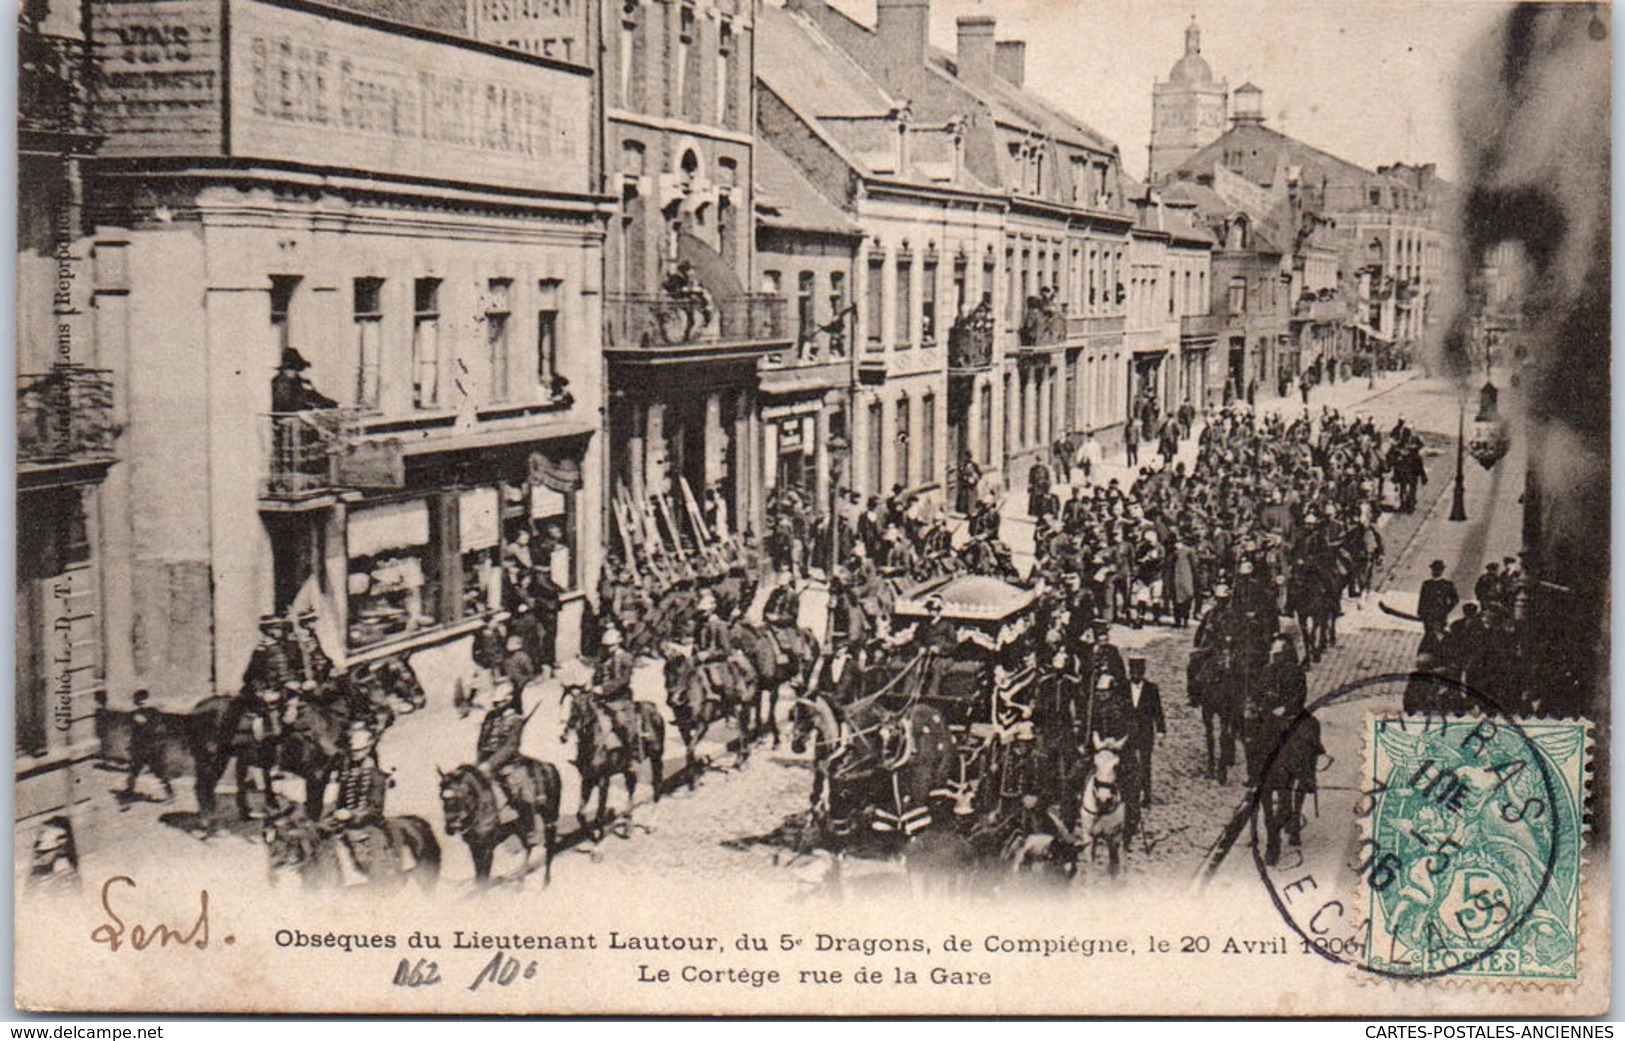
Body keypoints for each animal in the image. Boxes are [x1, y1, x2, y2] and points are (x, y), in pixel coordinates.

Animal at [438, 753, 565, 883]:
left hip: (550, 816)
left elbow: (484, 878)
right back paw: (521, 882)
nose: (451, 827)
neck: (482, 805)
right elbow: (479, 878)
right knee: (528, 846)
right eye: (441, 797)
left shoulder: (488, 848)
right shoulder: (475, 847)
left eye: (459, 795)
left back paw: (545, 881)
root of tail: (549, 766)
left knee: (549, 845)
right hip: (521, 828)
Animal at [559, 682, 659, 844]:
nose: (564, 736)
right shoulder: (587, 779)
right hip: (628, 770)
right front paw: (591, 835)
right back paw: (628, 827)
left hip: (656, 758)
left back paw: (651, 825)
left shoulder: (603, 780)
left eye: (581, 706)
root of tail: (653, 708)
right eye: (569, 706)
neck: (595, 742)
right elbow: (580, 814)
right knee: (631, 790)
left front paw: (598, 842)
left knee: (657, 787)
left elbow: (599, 815)